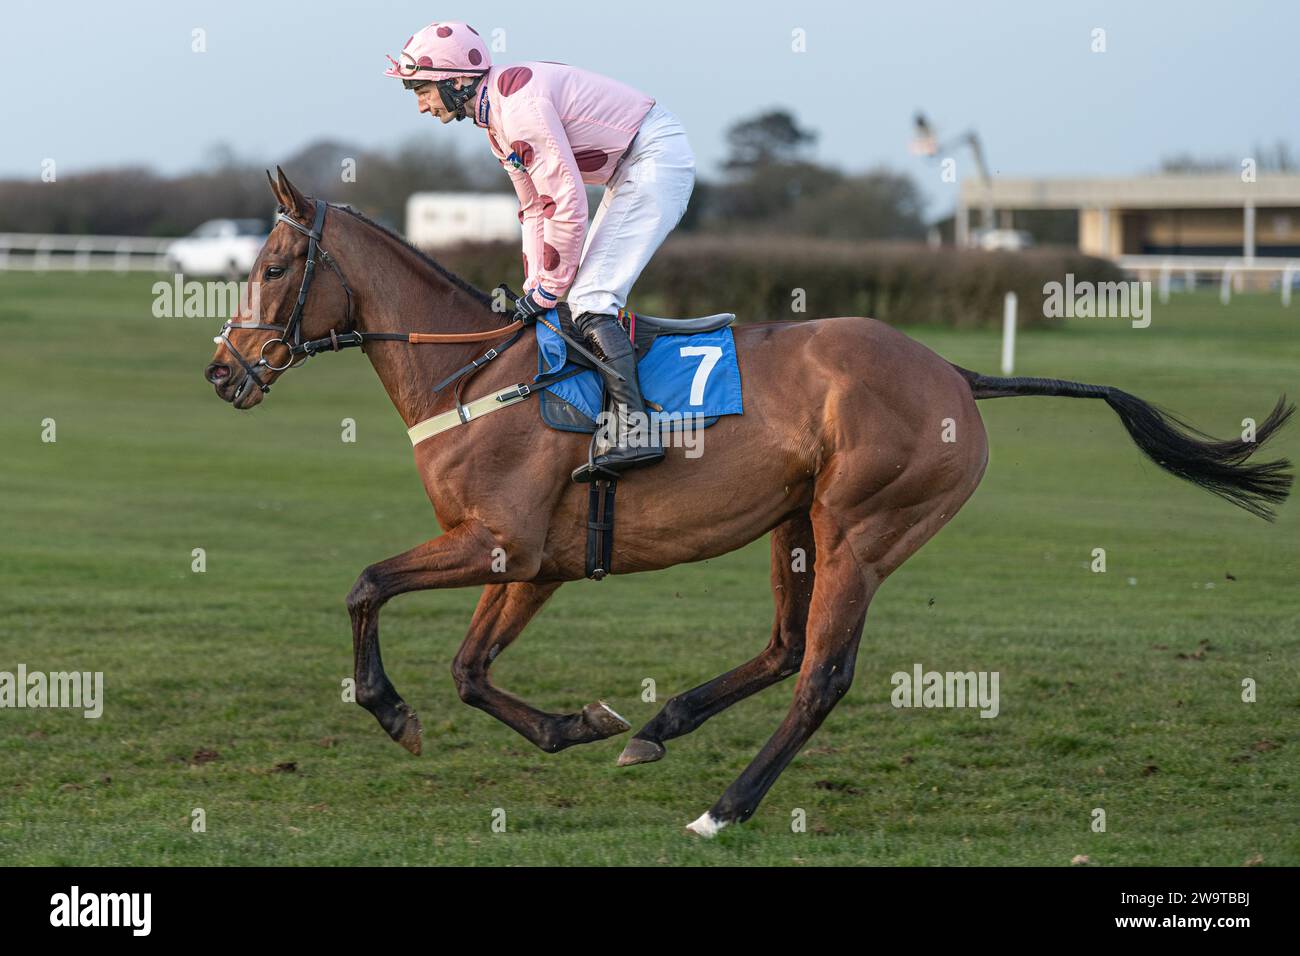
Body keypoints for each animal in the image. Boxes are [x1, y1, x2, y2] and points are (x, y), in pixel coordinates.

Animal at [202, 171, 1289, 837]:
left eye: (272, 266)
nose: (221, 372)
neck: (476, 374)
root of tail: (955, 373)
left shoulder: (497, 541)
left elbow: (364, 585)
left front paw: (391, 710)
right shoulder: (532, 560)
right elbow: (471, 670)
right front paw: (579, 724)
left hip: (863, 527)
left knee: (821, 672)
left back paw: (724, 806)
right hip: (794, 523)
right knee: (781, 646)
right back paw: (659, 723)